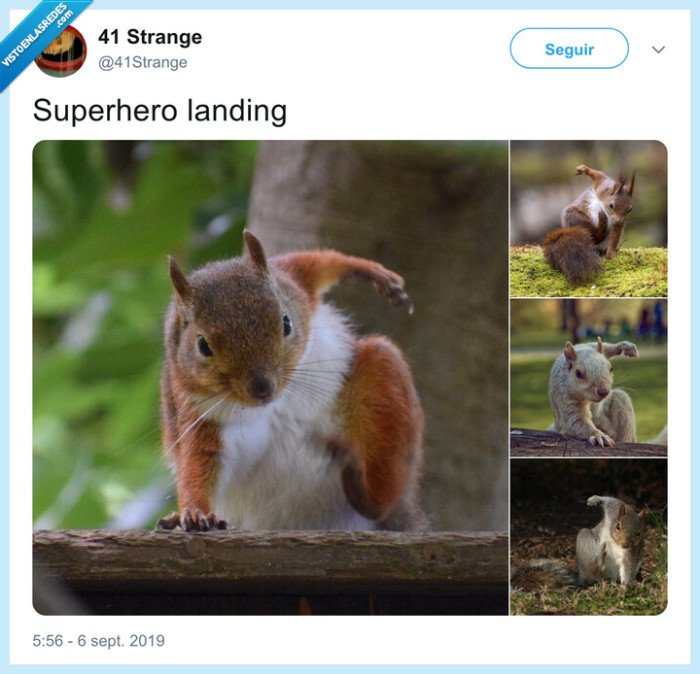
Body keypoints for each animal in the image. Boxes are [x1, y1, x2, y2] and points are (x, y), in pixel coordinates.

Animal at [157, 230, 427, 532]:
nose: (262, 388)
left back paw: (365, 488)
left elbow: (315, 263)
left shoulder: (293, 282)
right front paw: (194, 513)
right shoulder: (198, 414)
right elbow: (199, 462)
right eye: (203, 346)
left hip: (383, 384)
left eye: (286, 323)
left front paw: (372, 272)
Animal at [511, 495, 646, 591]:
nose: (625, 544)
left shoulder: (631, 552)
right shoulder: (613, 511)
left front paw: (626, 587)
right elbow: (610, 501)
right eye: (618, 526)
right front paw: (595, 499)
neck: (615, 540)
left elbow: (628, 567)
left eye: (639, 534)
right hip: (584, 538)